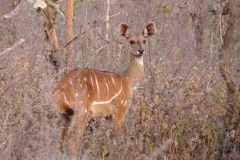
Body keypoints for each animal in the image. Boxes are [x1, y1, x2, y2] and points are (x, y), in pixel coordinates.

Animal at [52, 21, 156, 158]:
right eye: (131, 41)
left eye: (144, 40)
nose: (141, 51)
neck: (127, 80)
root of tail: (60, 87)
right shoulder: (120, 111)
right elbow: (116, 139)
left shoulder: (107, 116)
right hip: (81, 112)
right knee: (72, 140)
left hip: (64, 115)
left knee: (61, 141)